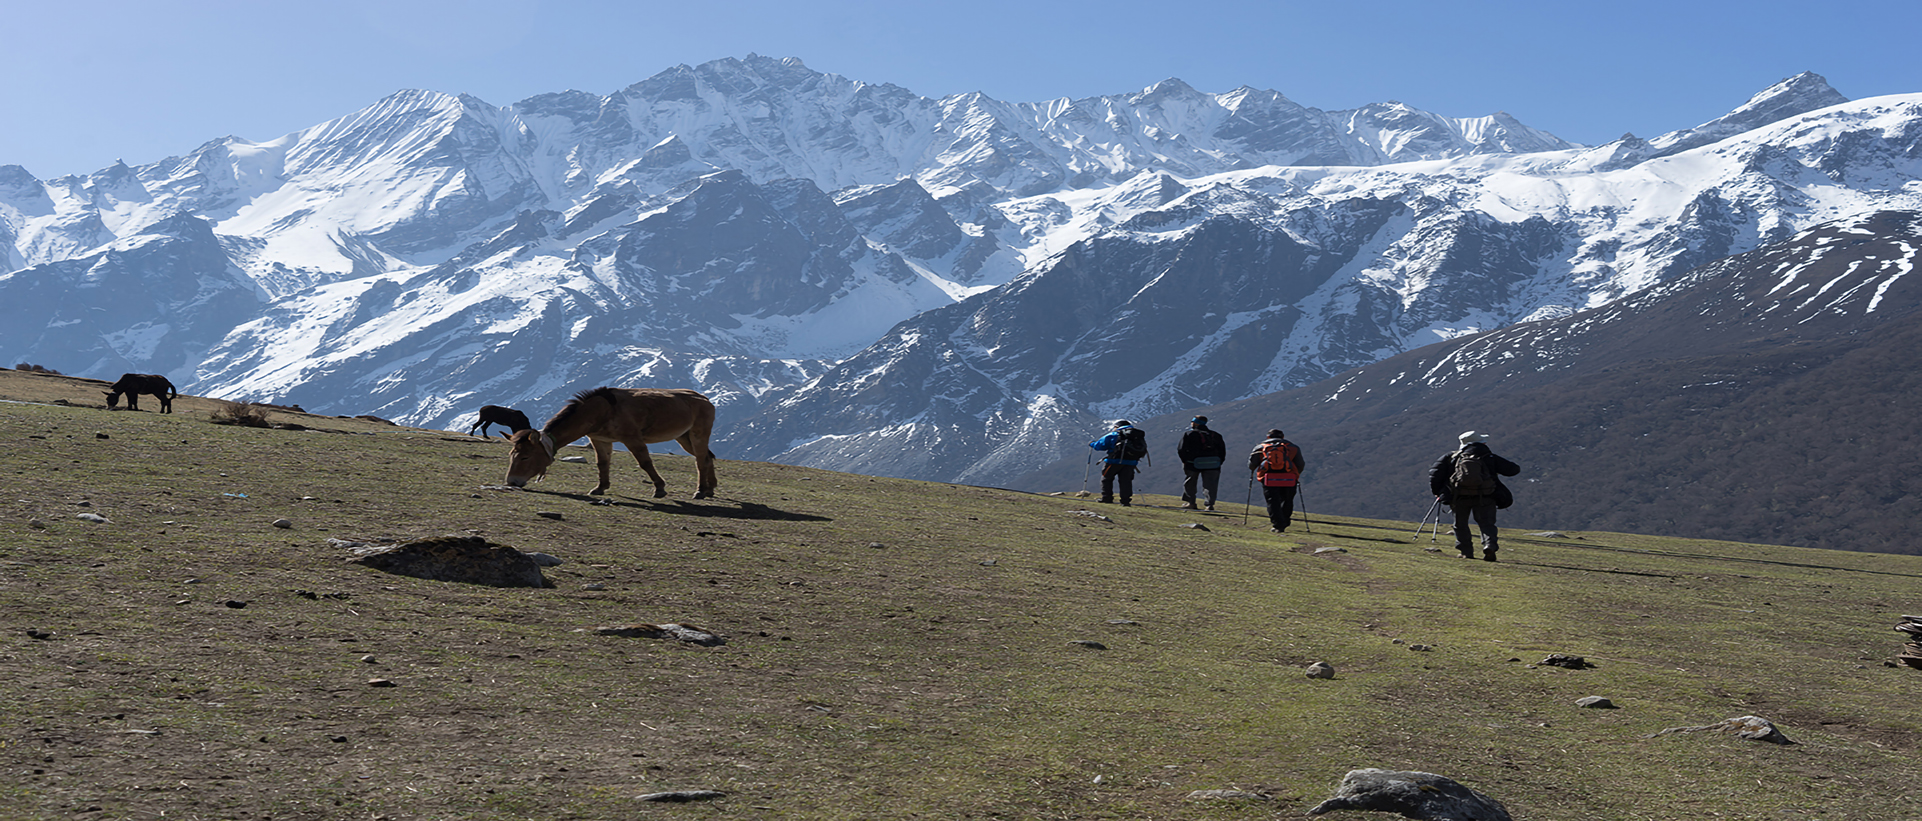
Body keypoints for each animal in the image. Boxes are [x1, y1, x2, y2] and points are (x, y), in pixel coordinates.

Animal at [503, 386, 722, 499]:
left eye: (525, 457)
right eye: (512, 455)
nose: (511, 482)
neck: (602, 410)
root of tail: (704, 398)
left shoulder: (632, 438)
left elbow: (645, 462)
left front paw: (659, 488)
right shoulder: (600, 440)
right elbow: (603, 464)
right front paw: (600, 488)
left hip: (698, 434)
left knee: (701, 460)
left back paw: (700, 491)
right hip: (683, 437)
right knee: (707, 458)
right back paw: (710, 489)